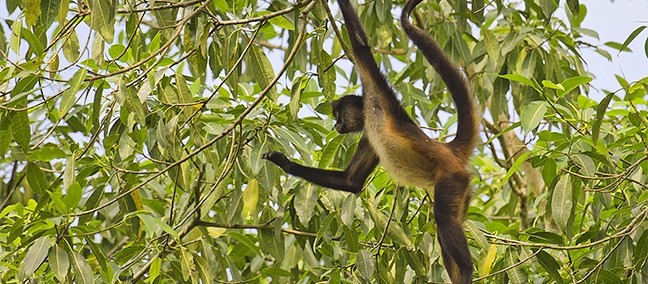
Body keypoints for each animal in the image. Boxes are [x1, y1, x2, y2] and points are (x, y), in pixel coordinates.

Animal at [260, 0, 478, 282]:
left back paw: (466, 270)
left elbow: (361, 45)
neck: (369, 115)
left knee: (444, 220)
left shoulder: (376, 93)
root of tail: (449, 150)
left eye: (338, 115)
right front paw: (283, 162)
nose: (336, 125)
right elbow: (351, 181)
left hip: (451, 178)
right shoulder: (368, 138)